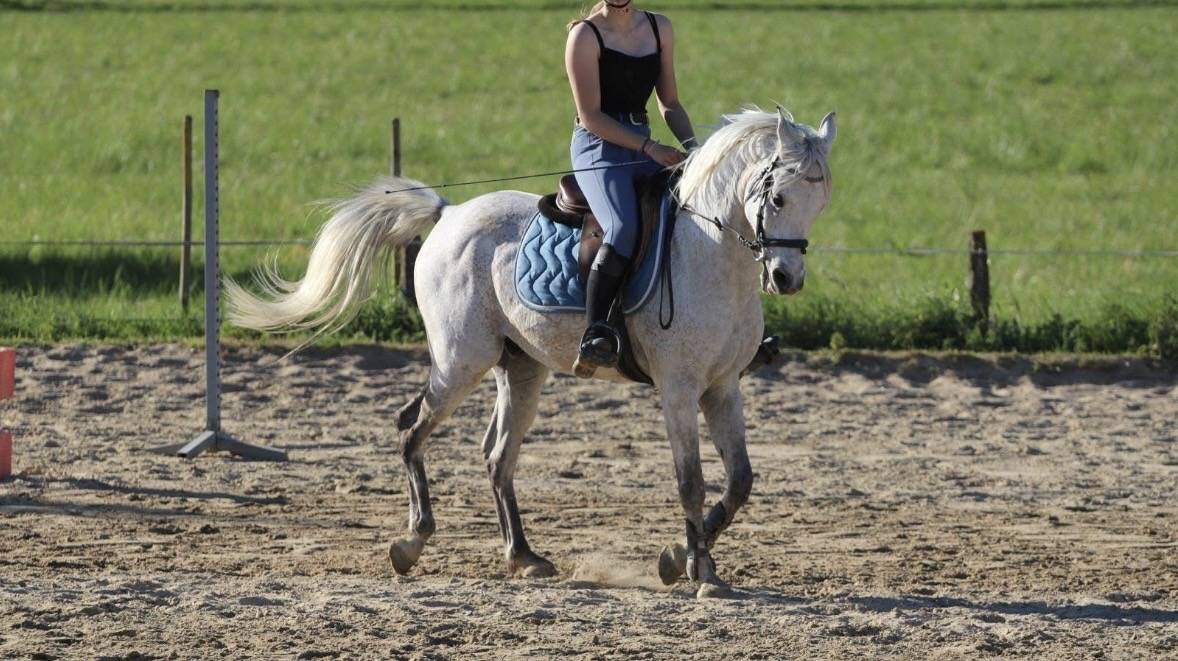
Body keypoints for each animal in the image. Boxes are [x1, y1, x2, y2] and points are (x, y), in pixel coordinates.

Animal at [226, 107, 836, 598]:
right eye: (778, 197)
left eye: (820, 203)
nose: (787, 278)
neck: (710, 256)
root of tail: (450, 214)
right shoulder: (679, 389)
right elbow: (692, 480)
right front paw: (700, 573)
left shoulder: (722, 387)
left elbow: (740, 481)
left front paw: (676, 559)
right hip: (461, 361)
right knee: (412, 428)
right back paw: (412, 542)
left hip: (521, 369)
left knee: (498, 457)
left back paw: (522, 556)